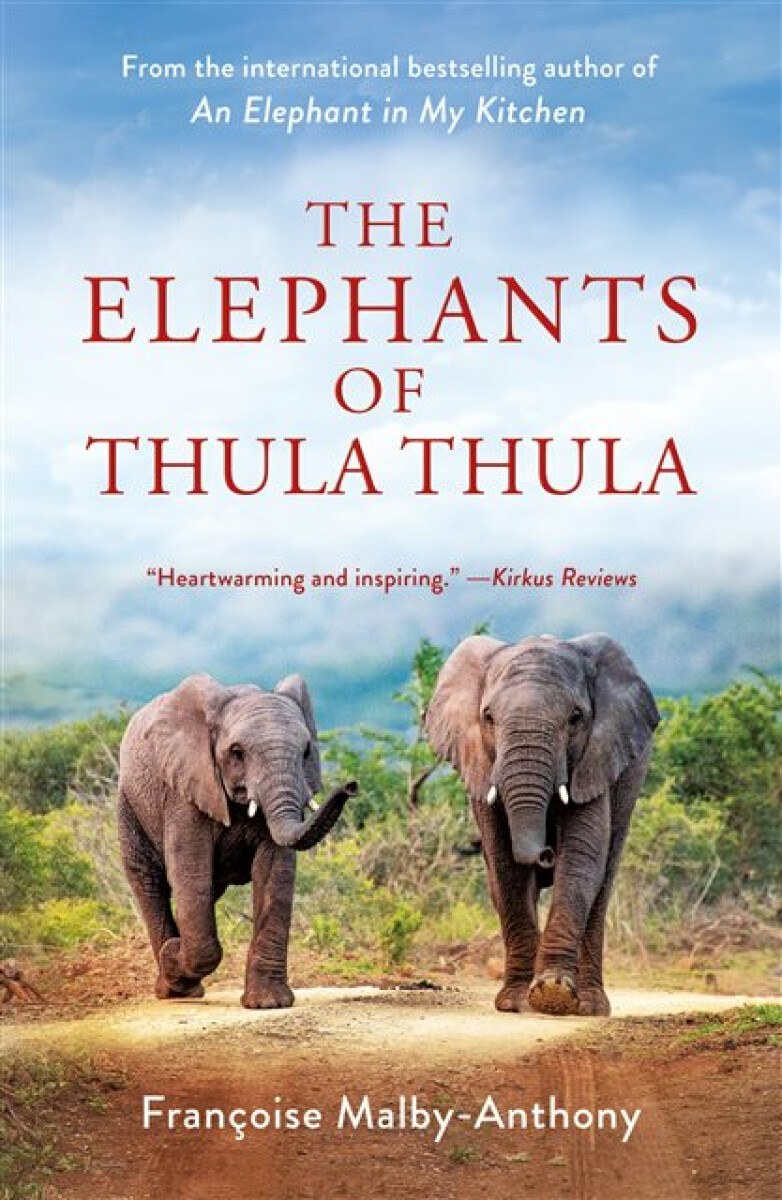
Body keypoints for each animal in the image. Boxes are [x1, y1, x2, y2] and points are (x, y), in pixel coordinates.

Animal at [118, 673, 356, 1009]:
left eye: (306, 751)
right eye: (236, 752)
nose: (351, 786)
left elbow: (276, 874)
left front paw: (269, 1004)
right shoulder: (183, 791)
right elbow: (190, 874)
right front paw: (172, 955)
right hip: (130, 805)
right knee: (150, 883)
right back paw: (173, 988)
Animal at [426, 633, 659, 1017]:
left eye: (576, 718)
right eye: (488, 717)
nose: (547, 852)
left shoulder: (594, 760)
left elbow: (580, 859)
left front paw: (553, 995)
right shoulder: (481, 767)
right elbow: (505, 866)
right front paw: (516, 1002)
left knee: (602, 883)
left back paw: (591, 1006)